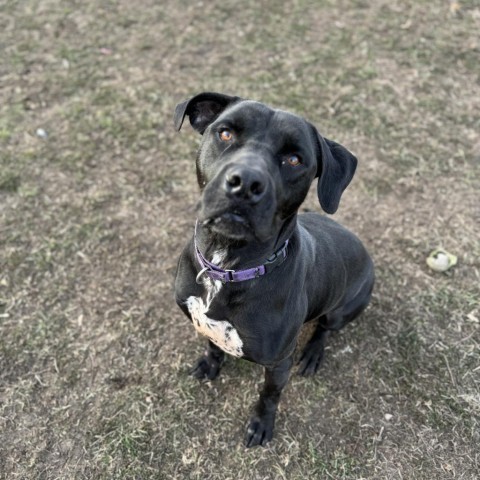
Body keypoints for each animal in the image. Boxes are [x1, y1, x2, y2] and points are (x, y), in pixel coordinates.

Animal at [173, 93, 376, 446]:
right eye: (225, 133)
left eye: (294, 160)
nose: (245, 183)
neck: (227, 267)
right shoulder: (206, 323)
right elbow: (212, 345)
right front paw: (209, 365)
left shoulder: (279, 363)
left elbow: (269, 395)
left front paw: (261, 424)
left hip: (343, 308)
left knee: (325, 328)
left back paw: (313, 354)